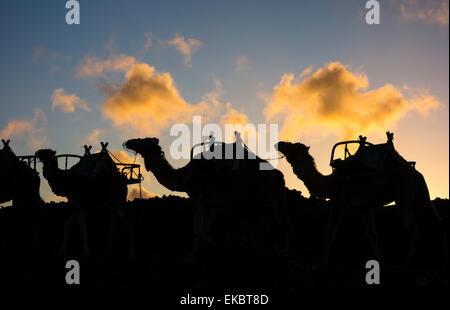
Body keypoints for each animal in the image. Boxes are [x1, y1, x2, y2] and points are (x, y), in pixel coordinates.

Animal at [125, 137, 290, 258]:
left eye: (143, 140)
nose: (128, 142)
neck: (184, 177)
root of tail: (280, 176)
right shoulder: (210, 204)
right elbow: (203, 229)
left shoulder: (196, 196)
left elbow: (199, 230)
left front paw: (196, 254)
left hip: (262, 198)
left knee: (274, 224)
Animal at [276, 132, 442, 270]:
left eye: (293, 146)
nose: (279, 143)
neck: (329, 183)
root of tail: (416, 173)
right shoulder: (364, 207)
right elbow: (372, 235)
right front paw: (381, 264)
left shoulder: (339, 202)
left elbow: (328, 232)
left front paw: (319, 265)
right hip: (420, 193)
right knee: (433, 220)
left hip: (404, 194)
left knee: (413, 230)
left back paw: (404, 265)